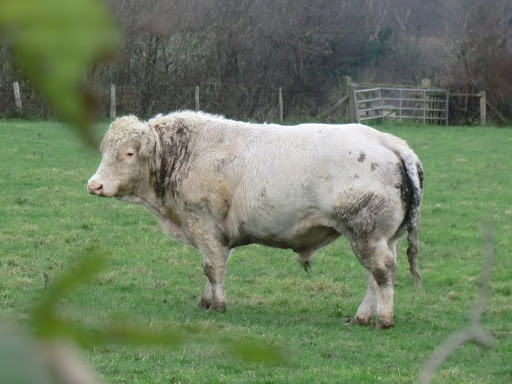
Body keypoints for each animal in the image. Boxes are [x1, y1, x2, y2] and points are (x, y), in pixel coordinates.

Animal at [89, 111, 424, 330]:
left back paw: (383, 320)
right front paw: (205, 301)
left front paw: (218, 306)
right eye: (105, 151)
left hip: (366, 234)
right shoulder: (212, 233)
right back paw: (362, 317)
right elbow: (212, 267)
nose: (95, 185)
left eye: (129, 153)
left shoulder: (203, 223)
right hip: (383, 237)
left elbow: (212, 267)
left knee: (381, 273)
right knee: (376, 275)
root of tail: (387, 141)